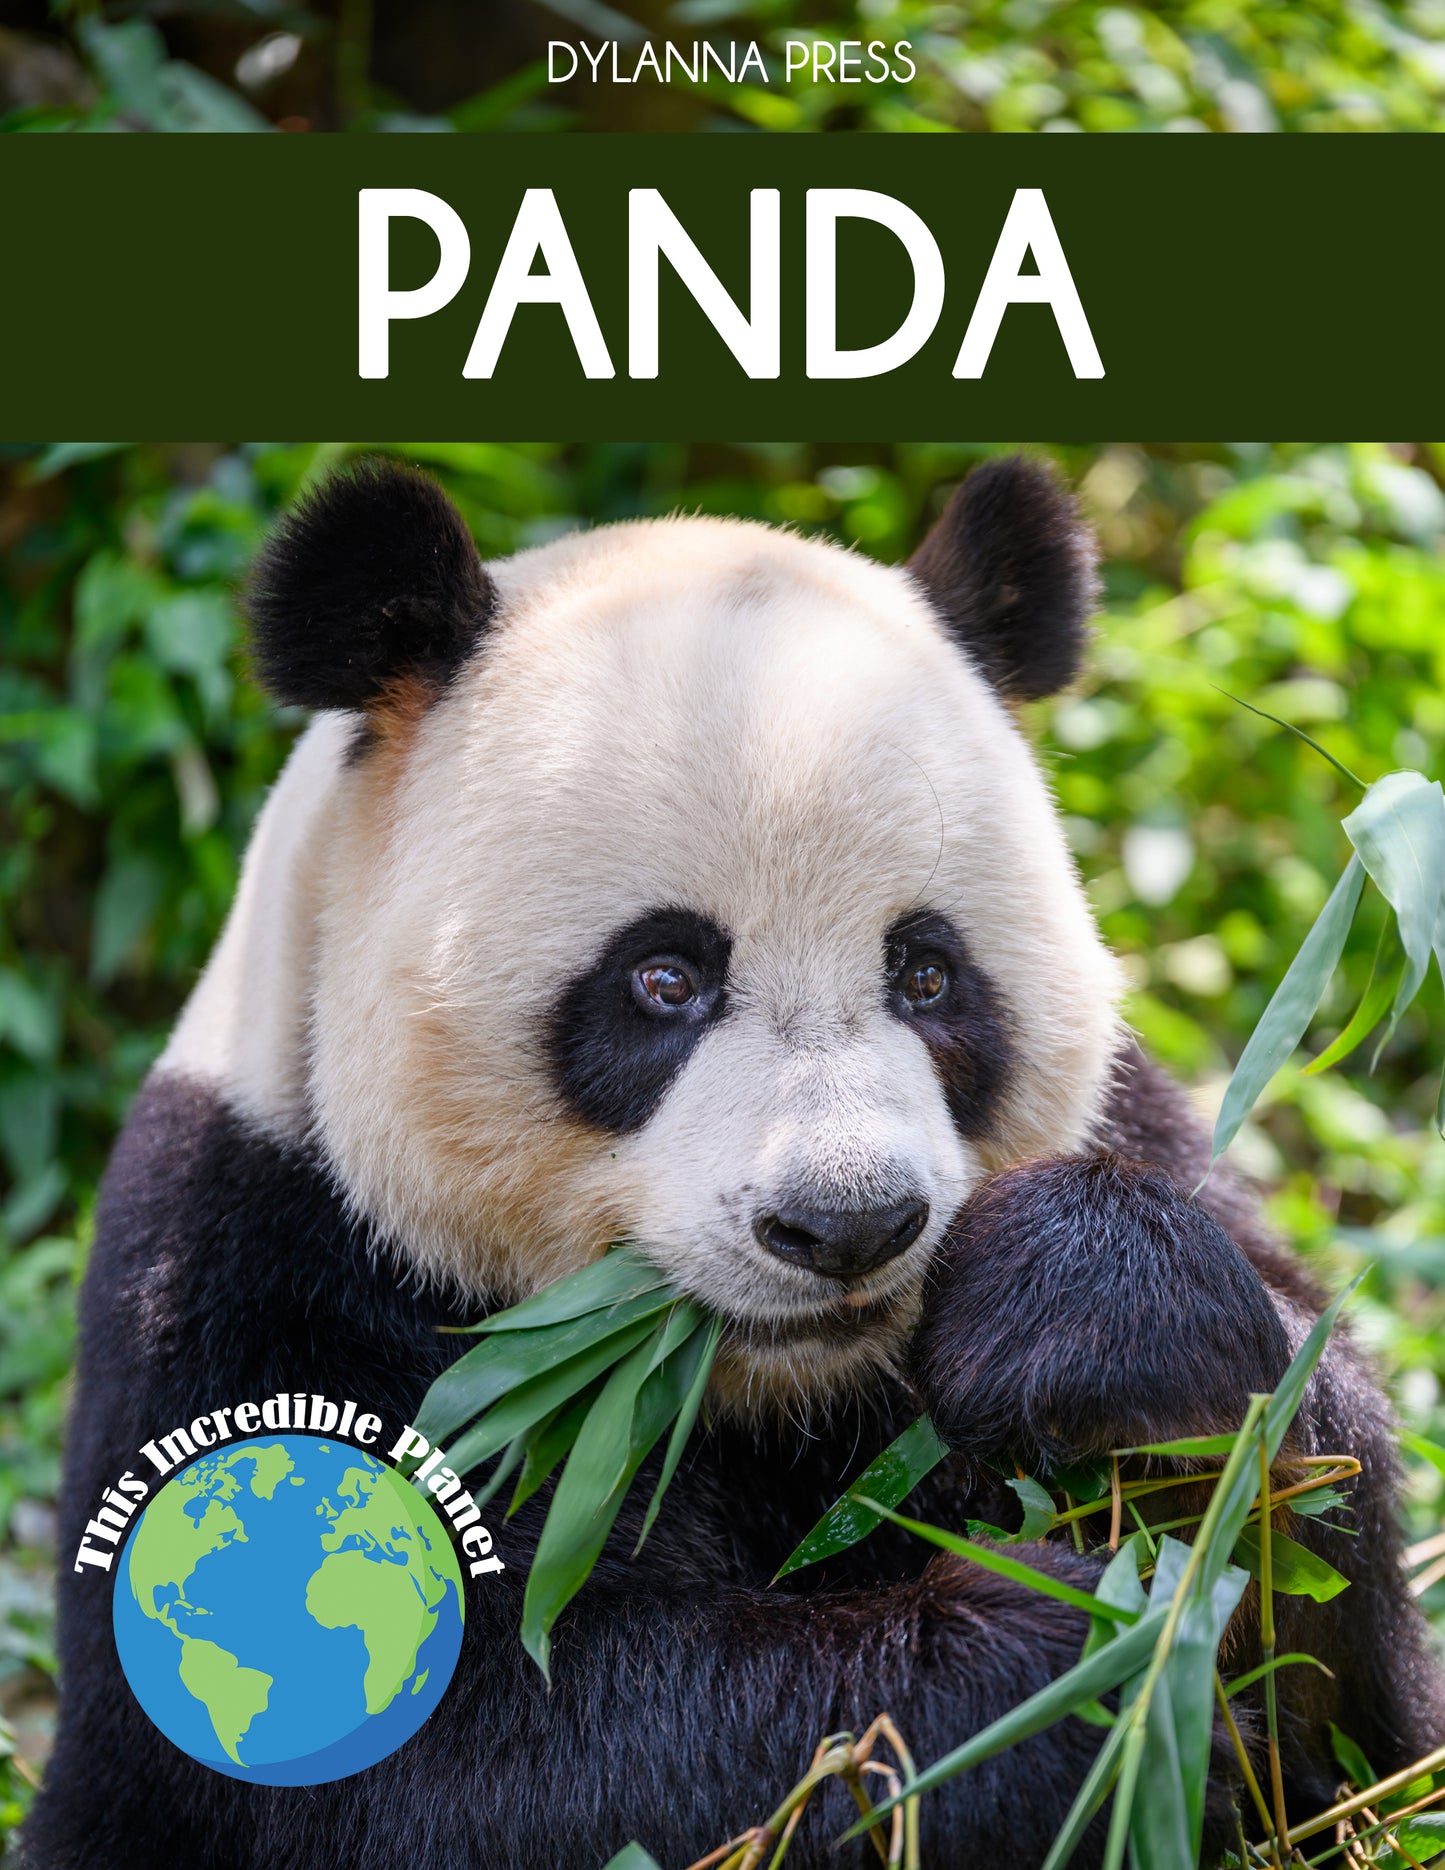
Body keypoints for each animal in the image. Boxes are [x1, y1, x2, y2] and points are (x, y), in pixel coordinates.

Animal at [22, 455, 1445, 1870]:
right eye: (663, 978)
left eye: (927, 974)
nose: (847, 1223)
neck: (778, 1396)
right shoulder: (258, 1268)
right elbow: (461, 1758)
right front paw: (1056, 1684)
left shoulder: (1138, 1123)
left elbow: (1351, 1681)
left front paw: (1102, 1349)